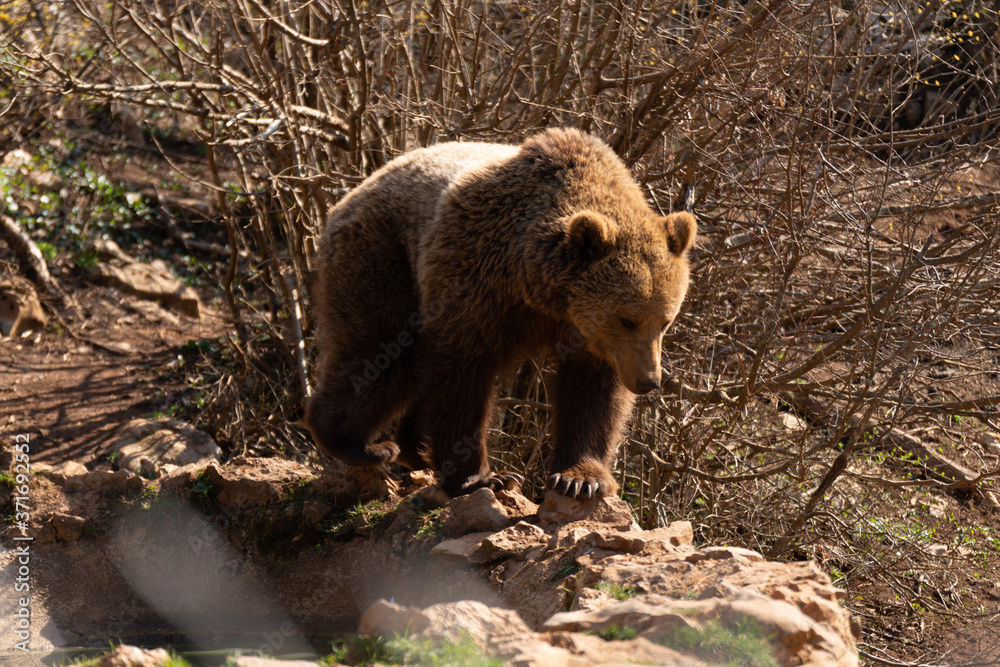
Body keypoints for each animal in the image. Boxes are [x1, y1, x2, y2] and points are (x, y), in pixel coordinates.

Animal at [305, 127, 696, 499]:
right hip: (385, 258)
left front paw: (581, 479)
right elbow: (461, 372)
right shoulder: (477, 281)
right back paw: (360, 444)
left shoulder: (589, 335)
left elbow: (593, 393)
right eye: (627, 319)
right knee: (380, 352)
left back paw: (412, 449)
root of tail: (350, 194)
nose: (649, 381)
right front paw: (482, 478)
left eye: (665, 322)